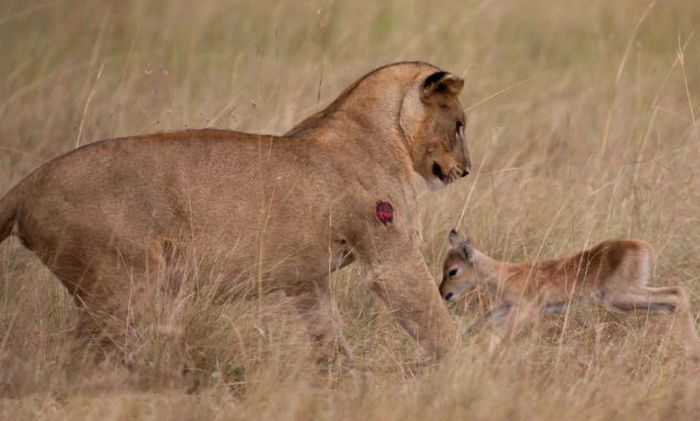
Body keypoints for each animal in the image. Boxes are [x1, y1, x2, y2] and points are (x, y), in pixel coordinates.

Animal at [440, 230, 696, 354]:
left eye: (452, 271)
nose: (444, 294)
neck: (507, 274)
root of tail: (644, 247)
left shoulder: (528, 309)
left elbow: (504, 332)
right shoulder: (507, 306)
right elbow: (481, 322)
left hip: (621, 297)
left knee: (677, 293)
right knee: (673, 299)